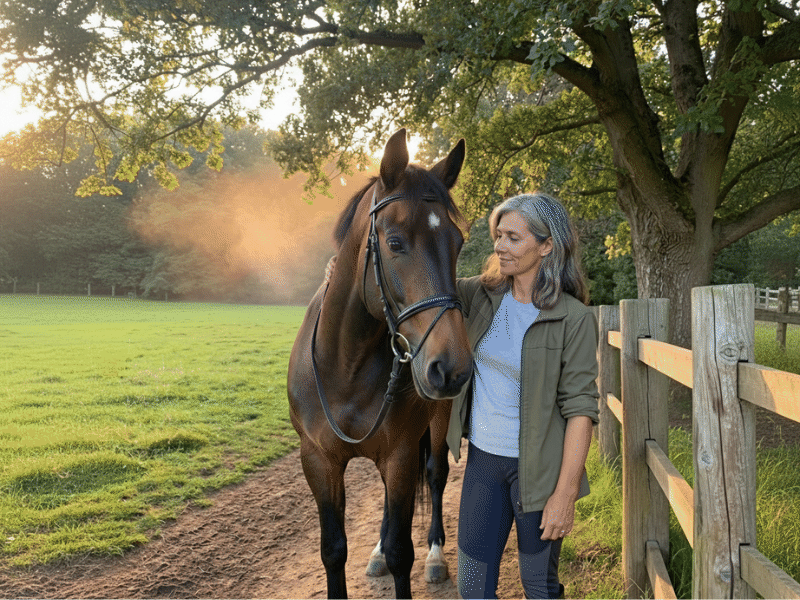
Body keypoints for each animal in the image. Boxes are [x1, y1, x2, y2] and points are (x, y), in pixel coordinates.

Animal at [287, 128, 473, 599]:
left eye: (458, 242)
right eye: (394, 243)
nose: (452, 368)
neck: (345, 369)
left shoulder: (401, 453)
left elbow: (401, 552)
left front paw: (416, 557)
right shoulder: (318, 461)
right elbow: (334, 550)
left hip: (435, 426)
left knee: (436, 476)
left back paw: (435, 555)